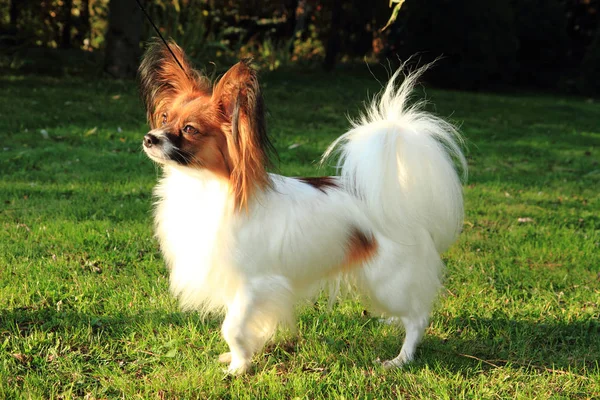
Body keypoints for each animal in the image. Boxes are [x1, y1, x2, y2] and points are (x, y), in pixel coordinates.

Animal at [138, 39, 466, 374]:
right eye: (164, 119)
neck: (204, 185)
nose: (149, 138)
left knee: (418, 318)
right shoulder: (236, 282)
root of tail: (399, 198)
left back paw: (400, 359)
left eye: (190, 129)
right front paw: (240, 356)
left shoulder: (257, 283)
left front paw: (238, 369)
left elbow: (232, 327)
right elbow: (241, 325)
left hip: (388, 281)